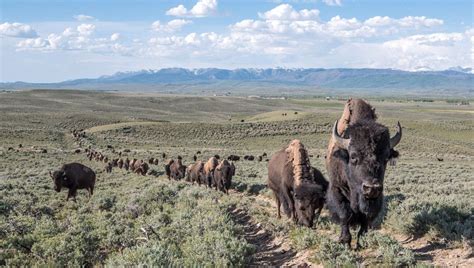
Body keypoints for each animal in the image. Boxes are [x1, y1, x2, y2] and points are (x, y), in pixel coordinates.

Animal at [326, 99, 404, 249]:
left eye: (386, 157)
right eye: (353, 156)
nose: (371, 188)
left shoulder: (376, 198)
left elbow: (366, 218)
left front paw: (362, 241)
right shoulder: (336, 188)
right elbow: (344, 214)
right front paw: (344, 241)